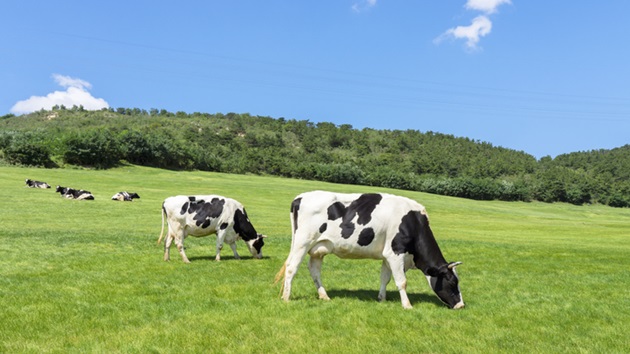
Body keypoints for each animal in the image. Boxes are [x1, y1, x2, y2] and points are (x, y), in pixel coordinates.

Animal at [276, 191, 464, 310]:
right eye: (452, 282)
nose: (461, 305)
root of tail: (300, 197)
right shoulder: (396, 252)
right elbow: (402, 281)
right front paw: (407, 305)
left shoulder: (387, 255)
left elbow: (385, 278)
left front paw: (382, 298)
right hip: (302, 242)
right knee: (292, 268)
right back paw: (286, 298)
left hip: (318, 248)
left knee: (314, 271)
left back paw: (324, 296)